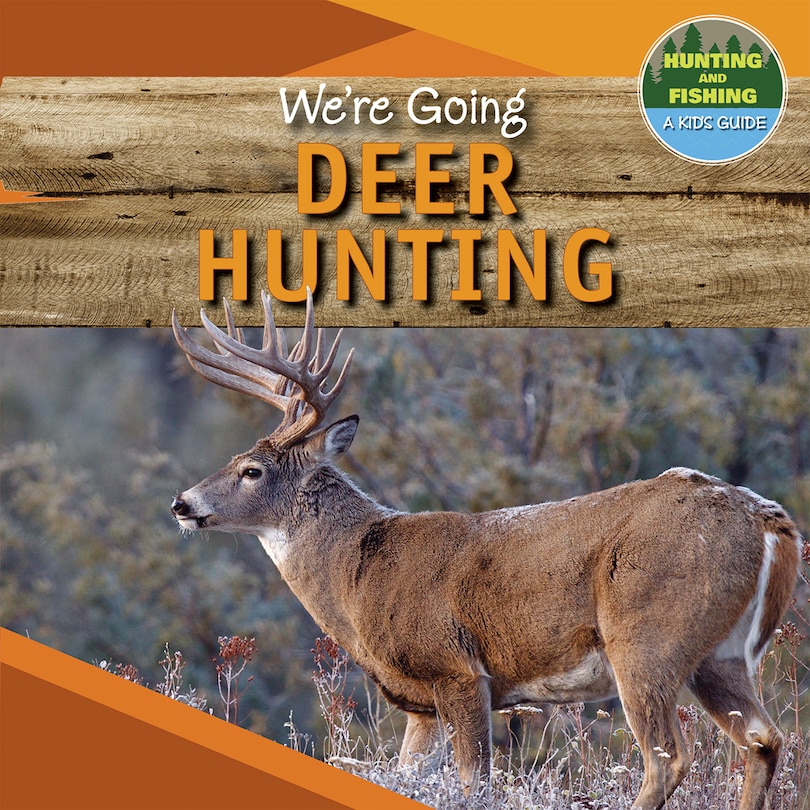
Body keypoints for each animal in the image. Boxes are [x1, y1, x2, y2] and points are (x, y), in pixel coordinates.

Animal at [170, 291, 801, 810]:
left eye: (252, 470)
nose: (181, 502)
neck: (357, 576)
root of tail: (769, 521)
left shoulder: (456, 669)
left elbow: (473, 781)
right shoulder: (420, 705)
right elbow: (407, 776)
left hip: (647, 637)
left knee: (668, 757)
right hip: (720, 653)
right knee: (763, 740)